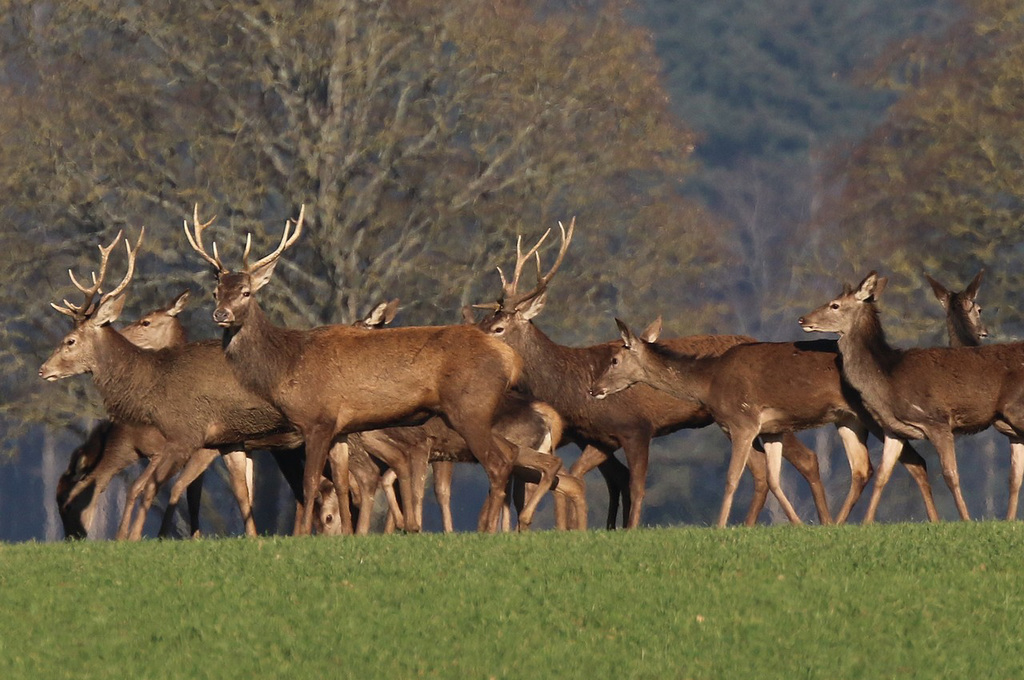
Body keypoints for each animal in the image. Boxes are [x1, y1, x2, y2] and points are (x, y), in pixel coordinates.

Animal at [185, 204, 532, 532]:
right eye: (216, 292)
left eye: (246, 292)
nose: (221, 314)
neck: (286, 364)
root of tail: (511, 358)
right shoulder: (341, 429)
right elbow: (341, 485)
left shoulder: (318, 420)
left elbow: (310, 484)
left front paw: (304, 535)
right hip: (479, 413)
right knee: (509, 455)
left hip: (470, 407)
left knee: (497, 464)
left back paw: (486, 530)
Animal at [475, 220, 843, 528]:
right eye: (483, 321)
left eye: (497, 327)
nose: (471, 340)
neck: (572, 385)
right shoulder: (600, 438)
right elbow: (579, 477)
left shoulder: (636, 427)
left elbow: (636, 486)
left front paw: (629, 529)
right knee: (764, 472)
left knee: (806, 459)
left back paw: (822, 520)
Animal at [798, 270, 1024, 520]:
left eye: (835, 305)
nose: (803, 319)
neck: (888, 379)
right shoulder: (893, 430)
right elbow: (882, 475)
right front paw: (866, 522)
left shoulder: (936, 420)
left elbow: (951, 474)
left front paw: (966, 519)